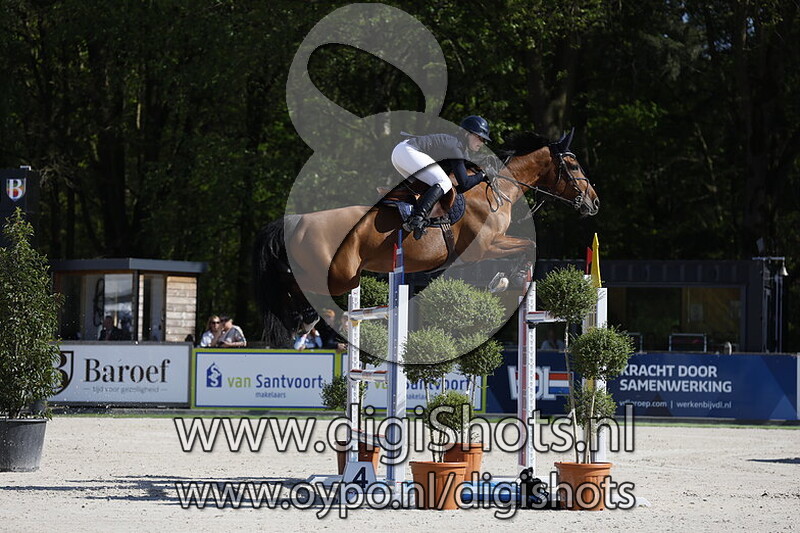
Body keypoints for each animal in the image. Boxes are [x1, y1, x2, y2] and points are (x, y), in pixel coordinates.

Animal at [254, 130, 599, 347]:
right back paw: (306, 318)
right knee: (299, 284)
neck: (496, 192)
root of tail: (298, 220)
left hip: (342, 275)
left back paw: (301, 319)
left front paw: (505, 278)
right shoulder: (483, 248)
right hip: (338, 276)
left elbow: (526, 248)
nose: (594, 203)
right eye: (572, 164)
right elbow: (529, 246)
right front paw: (506, 278)